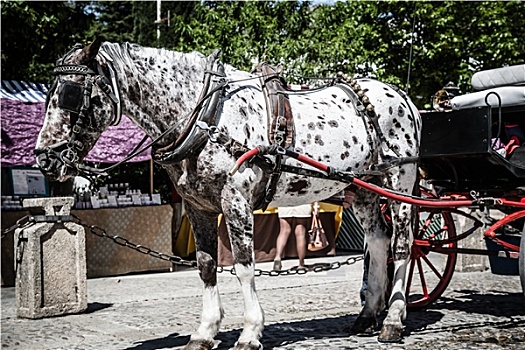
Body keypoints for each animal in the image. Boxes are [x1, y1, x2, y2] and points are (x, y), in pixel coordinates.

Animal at [35, 39, 422, 348]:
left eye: (70, 94)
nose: (43, 158)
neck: (205, 118)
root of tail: (402, 96)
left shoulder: (235, 200)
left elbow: (244, 267)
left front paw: (250, 332)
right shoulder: (197, 207)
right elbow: (207, 266)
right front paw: (205, 332)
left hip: (400, 181)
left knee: (403, 244)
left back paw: (392, 320)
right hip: (362, 188)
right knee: (377, 240)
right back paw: (368, 314)